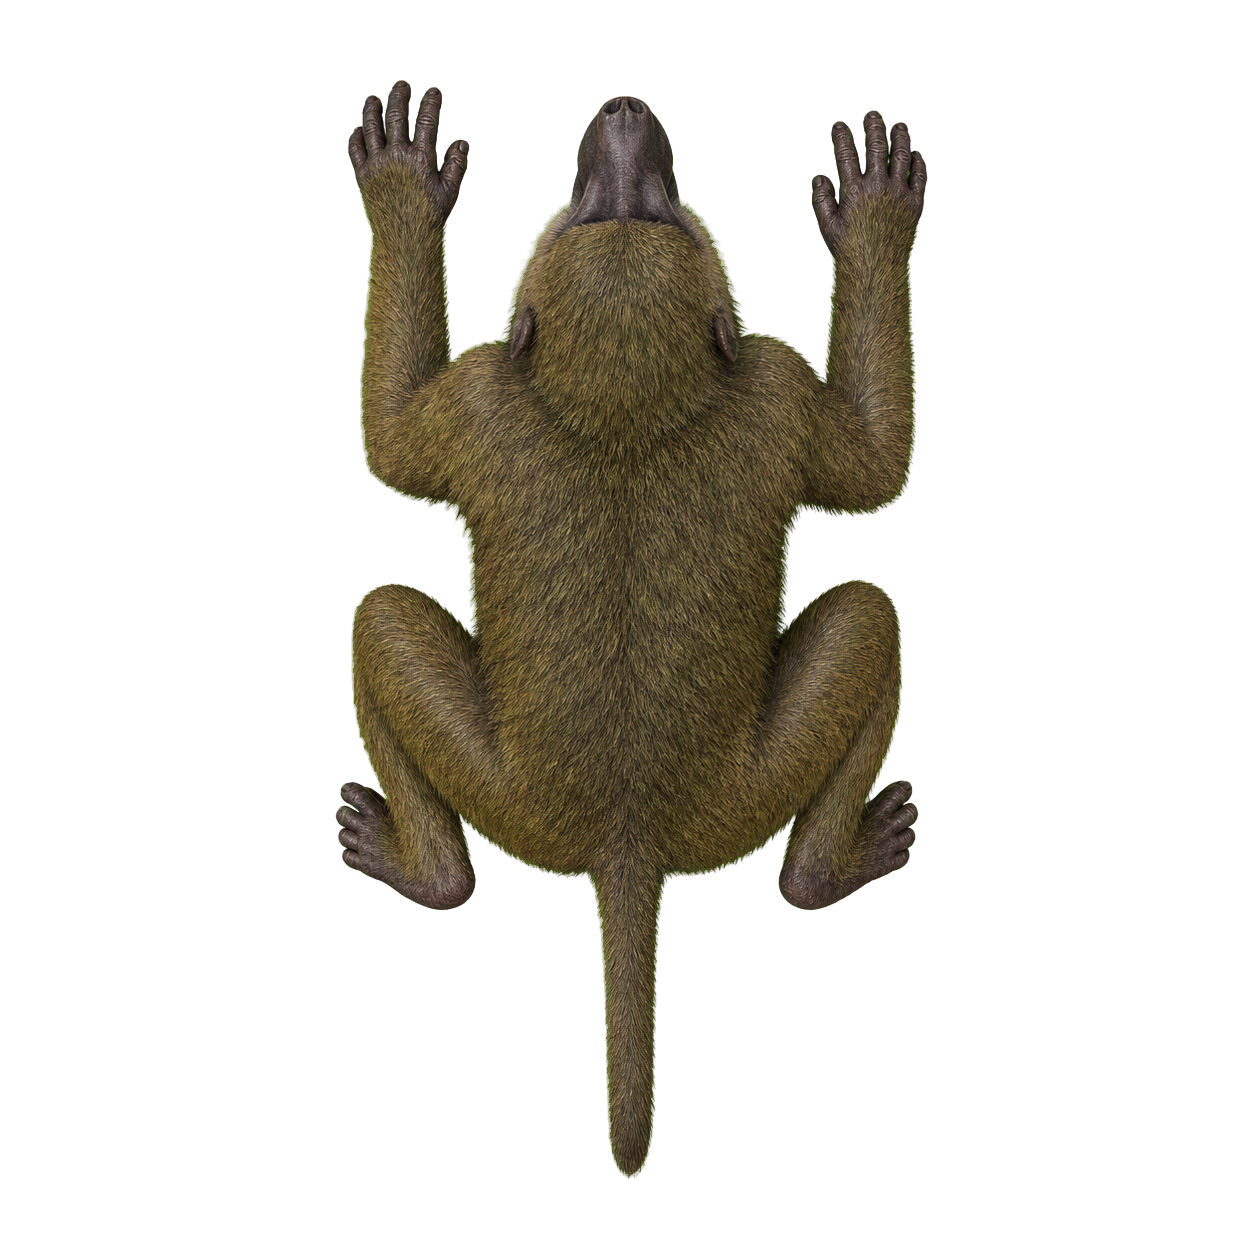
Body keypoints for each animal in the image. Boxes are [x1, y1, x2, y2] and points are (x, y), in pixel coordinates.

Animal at [338, 82, 924, 1178]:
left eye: (666, 210)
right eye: (580, 209)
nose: (620, 109)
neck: (624, 403)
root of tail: (628, 842)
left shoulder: (754, 384)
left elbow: (390, 442)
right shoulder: (754, 386)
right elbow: (876, 467)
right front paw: (405, 194)